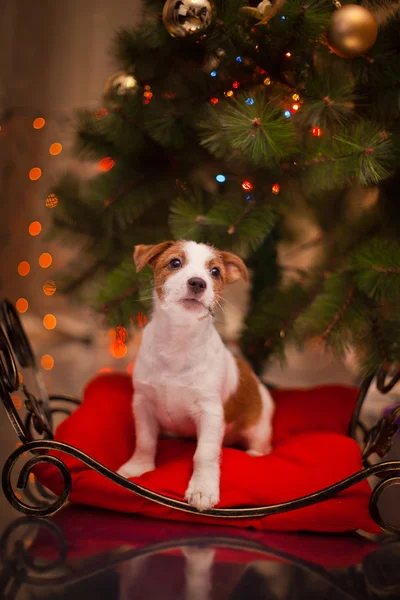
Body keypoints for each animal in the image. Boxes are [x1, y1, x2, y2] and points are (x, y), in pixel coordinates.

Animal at [118, 240, 276, 510]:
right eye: (175, 263)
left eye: (215, 272)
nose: (197, 283)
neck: (178, 343)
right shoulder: (143, 403)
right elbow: (145, 441)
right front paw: (139, 467)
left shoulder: (210, 413)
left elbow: (204, 454)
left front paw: (202, 489)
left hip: (259, 427)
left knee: (260, 445)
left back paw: (255, 454)